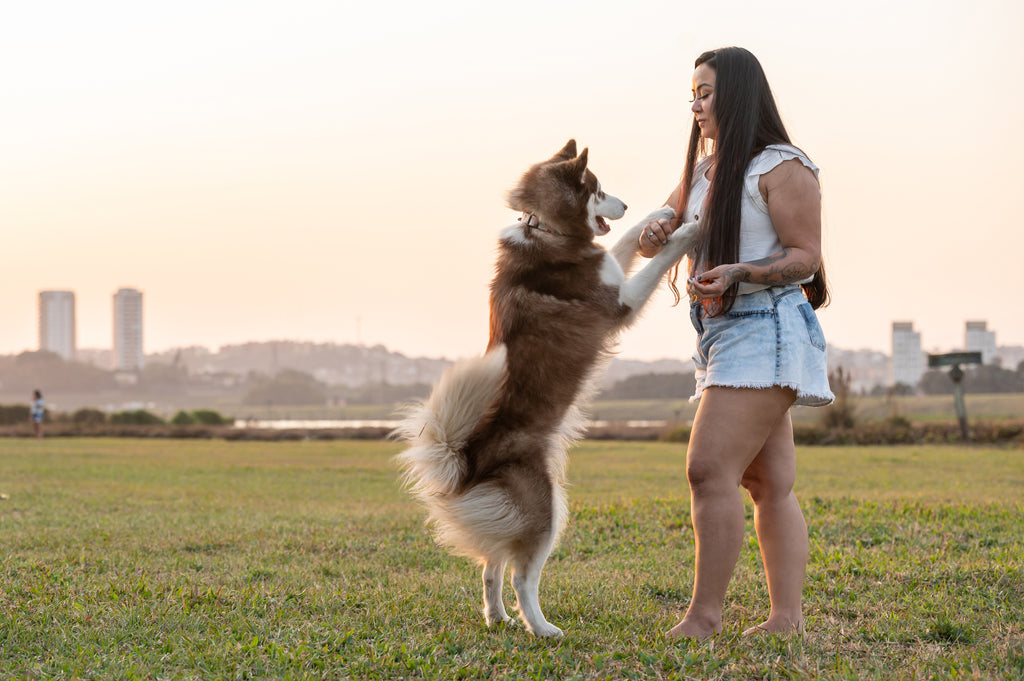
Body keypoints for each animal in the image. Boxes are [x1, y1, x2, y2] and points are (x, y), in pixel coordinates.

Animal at [391, 140, 696, 634]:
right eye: (599, 189)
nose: (627, 204)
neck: (547, 230)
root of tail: (468, 460)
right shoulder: (621, 302)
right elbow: (655, 258)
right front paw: (687, 230)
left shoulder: (611, 270)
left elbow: (622, 244)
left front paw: (659, 214)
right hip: (547, 510)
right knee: (521, 576)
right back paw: (541, 628)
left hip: (513, 519)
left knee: (490, 567)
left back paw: (499, 620)